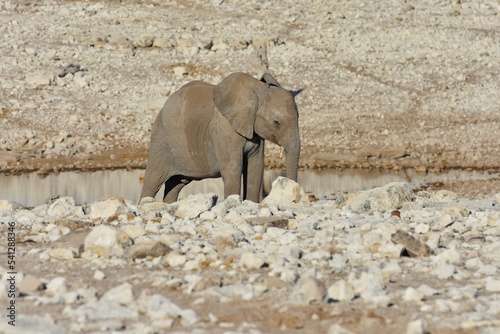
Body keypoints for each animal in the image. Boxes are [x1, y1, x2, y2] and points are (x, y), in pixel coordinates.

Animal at [139, 72, 298, 204]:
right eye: (276, 122)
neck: (257, 90)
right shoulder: (224, 129)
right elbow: (232, 169)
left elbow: (256, 168)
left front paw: (251, 203)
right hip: (162, 141)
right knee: (153, 179)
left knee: (175, 184)